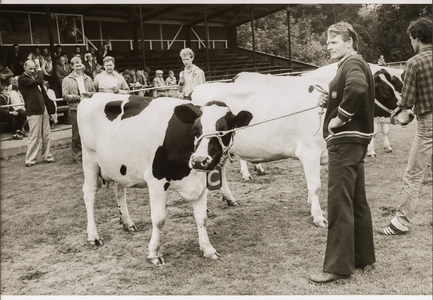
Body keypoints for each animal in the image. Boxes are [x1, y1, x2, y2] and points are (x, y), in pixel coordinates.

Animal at [77, 94, 251, 264]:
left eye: (224, 130)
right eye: (195, 129)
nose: (199, 160)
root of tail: (91, 96)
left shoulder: (201, 182)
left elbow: (202, 218)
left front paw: (208, 249)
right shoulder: (156, 179)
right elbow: (159, 219)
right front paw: (154, 253)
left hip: (119, 167)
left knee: (119, 191)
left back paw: (128, 223)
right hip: (90, 159)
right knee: (89, 194)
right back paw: (93, 236)